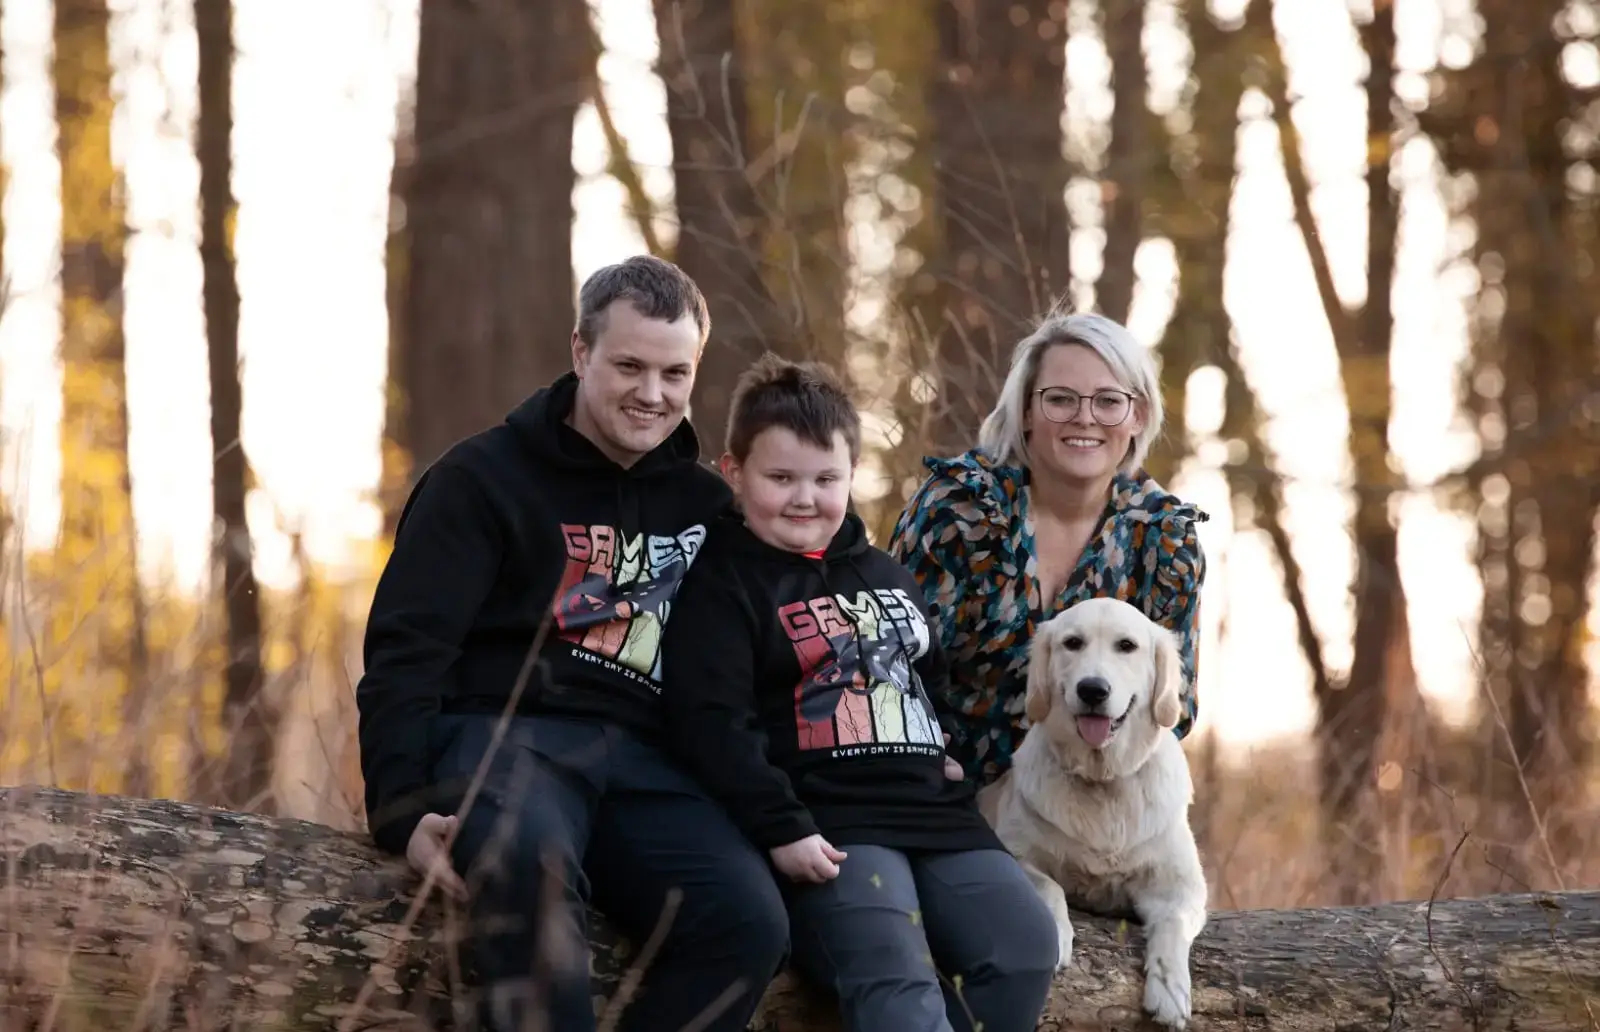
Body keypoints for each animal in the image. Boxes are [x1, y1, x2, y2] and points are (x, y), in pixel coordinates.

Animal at [977, 596, 1208, 1029]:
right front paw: (1056, 934)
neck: (1104, 782)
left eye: (1127, 646)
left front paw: (1169, 992)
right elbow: (1048, 886)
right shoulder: (1014, 850)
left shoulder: (1180, 886)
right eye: (1072, 643)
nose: (1092, 689)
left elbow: (1172, 925)